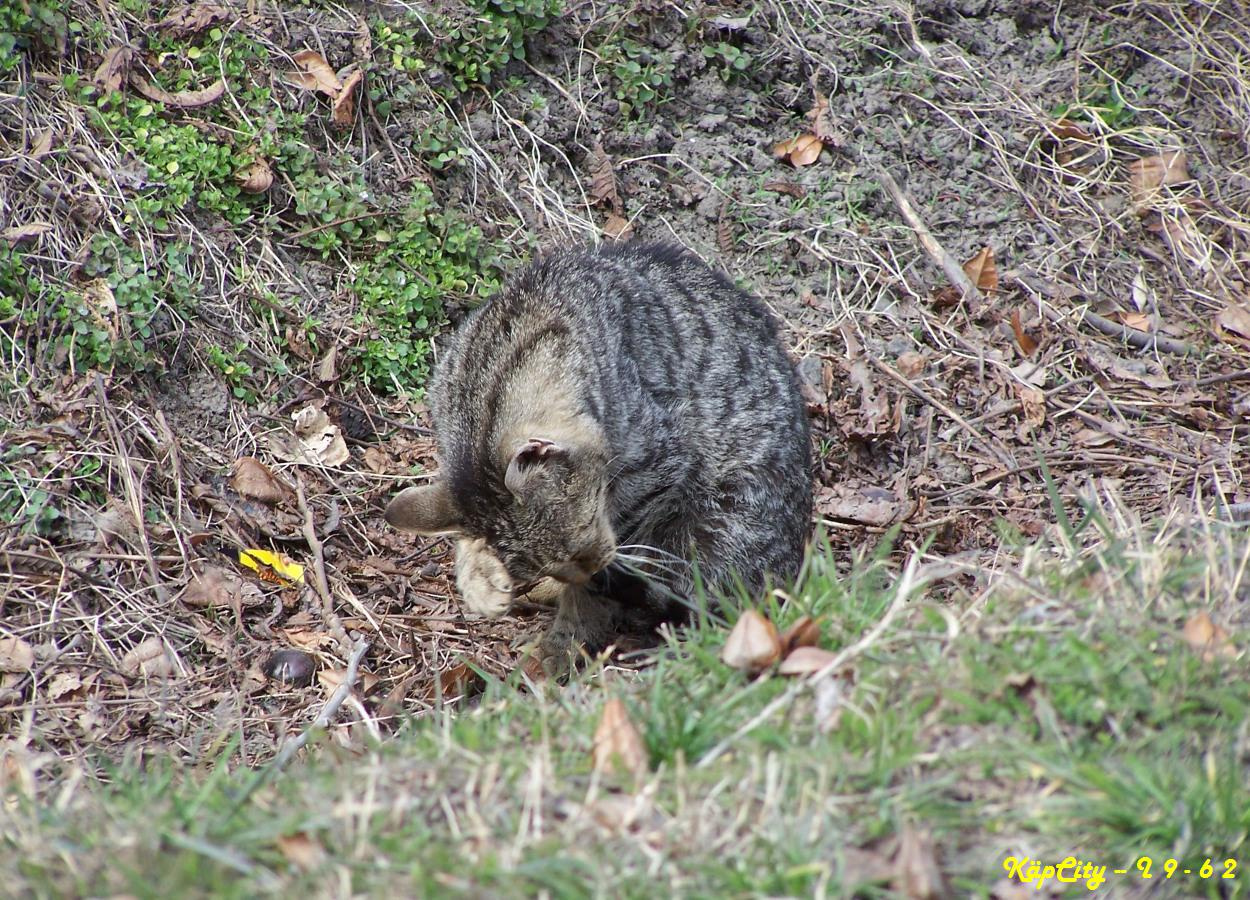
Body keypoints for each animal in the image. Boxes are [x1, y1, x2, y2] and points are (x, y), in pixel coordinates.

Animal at [385, 242, 810, 665]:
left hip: (724, 517)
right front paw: (480, 574)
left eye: (583, 537)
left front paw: (566, 639)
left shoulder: (659, 467)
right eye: (557, 566)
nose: (594, 567)